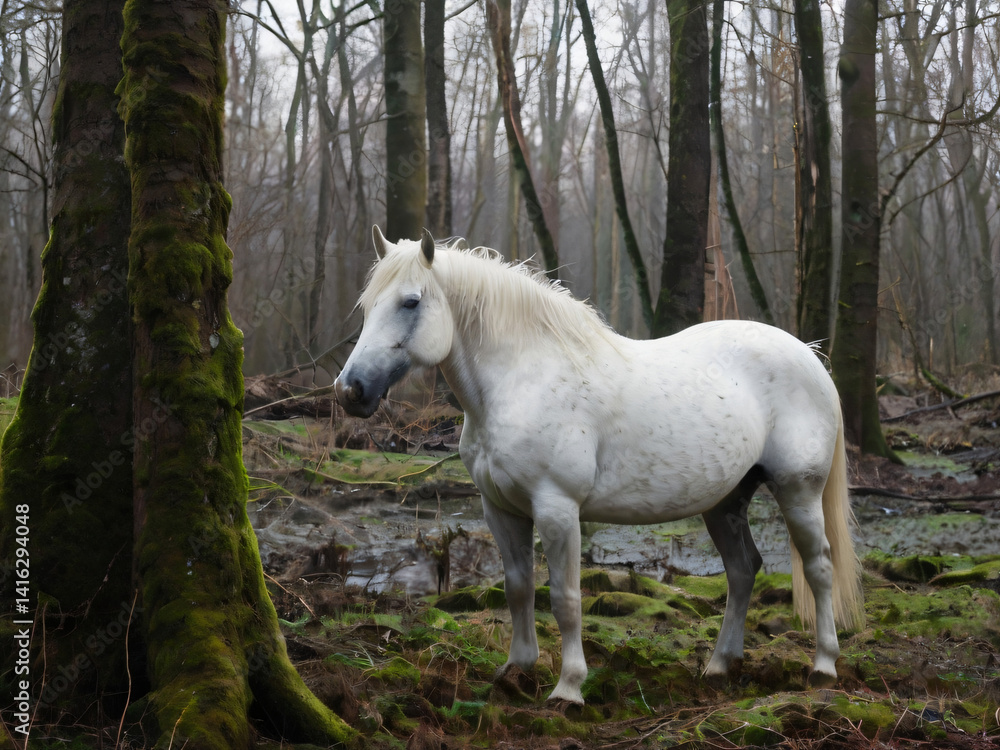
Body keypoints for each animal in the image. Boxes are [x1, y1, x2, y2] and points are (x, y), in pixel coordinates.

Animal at [335, 227, 864, 705]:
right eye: (366, 305)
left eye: (410, 302)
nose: (350, 391)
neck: (522, 380)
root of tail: (810, 357)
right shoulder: (499, 509)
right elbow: (518, 588)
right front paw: (516, 670)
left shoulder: (557, 509)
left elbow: (566, 600)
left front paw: (568, 688)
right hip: (725, 501)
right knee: (742, 570)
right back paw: (718, 666)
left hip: (798, 491)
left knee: (818, 567)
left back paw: (823, 665)